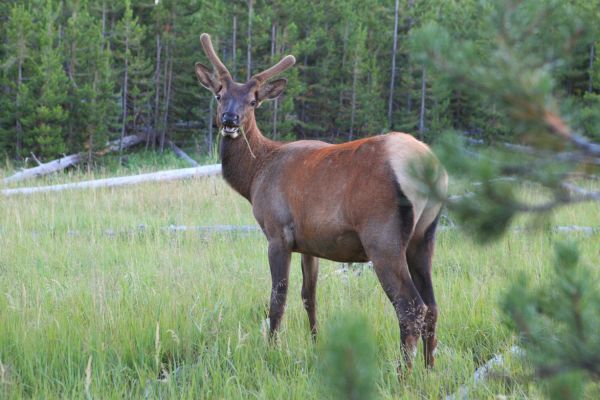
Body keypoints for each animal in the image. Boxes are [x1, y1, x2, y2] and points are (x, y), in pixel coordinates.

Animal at [195, 32, 448, 370]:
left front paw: (271, 350)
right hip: (424, 236)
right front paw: (316, 344)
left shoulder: (277, 232)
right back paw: (429, 369)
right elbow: (309, 295)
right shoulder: (308, 242)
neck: (254, 176)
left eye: (253, 101)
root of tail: (429, 166)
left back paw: (404, 374)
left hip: (383, 237)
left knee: (411, 307)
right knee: (433, 306)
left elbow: (278, 299)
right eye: (219, 95)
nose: (230, 120)